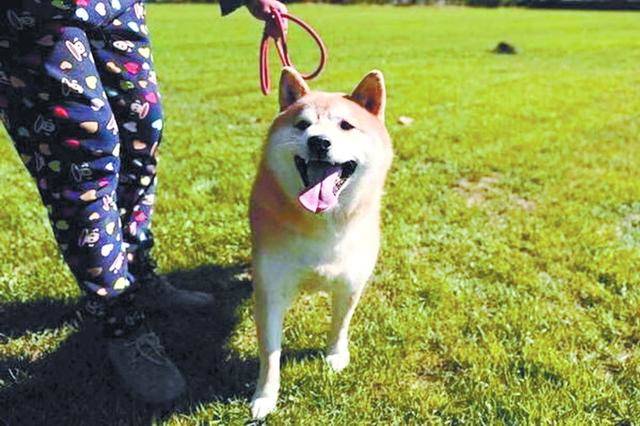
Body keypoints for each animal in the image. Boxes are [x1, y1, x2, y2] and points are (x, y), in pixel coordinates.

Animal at [248, 67, 393, 419]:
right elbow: (270, 354)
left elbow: (340, 324)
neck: (320, 223)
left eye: (346, 125)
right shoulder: (271, 291)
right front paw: (265, 397)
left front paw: (335, 355)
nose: (319, 142)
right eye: (302, 125)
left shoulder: (351, 282)